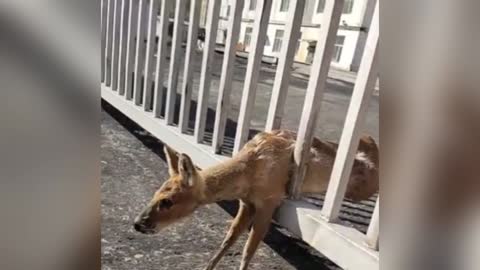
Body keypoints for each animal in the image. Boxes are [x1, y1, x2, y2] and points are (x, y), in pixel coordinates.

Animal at [132, 130, 378, 268]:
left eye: (167, 201)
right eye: (155, 193)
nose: (137, 223)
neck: (250, 171)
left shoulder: (269, 201)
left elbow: (248, 251)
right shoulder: (246, 202)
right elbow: (228, 239)